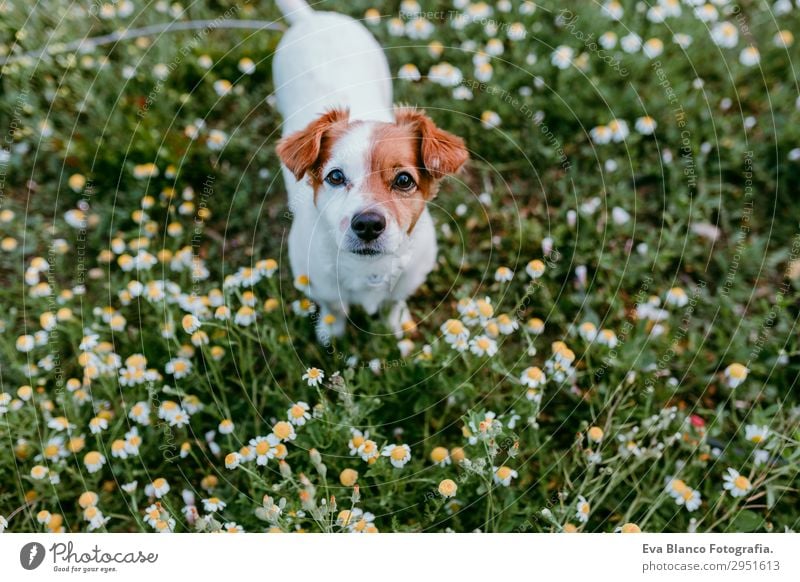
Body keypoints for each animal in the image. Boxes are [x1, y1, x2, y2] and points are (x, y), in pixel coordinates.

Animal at [274, 0, 468, 344]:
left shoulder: (408, 281)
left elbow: (393, 303)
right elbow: (334, 309)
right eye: (335, 177)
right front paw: (331, 333)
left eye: (404, 180)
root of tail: (313, 19)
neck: (368, 268)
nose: (367, 224)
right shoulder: (320, 285)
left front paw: (395, 326)